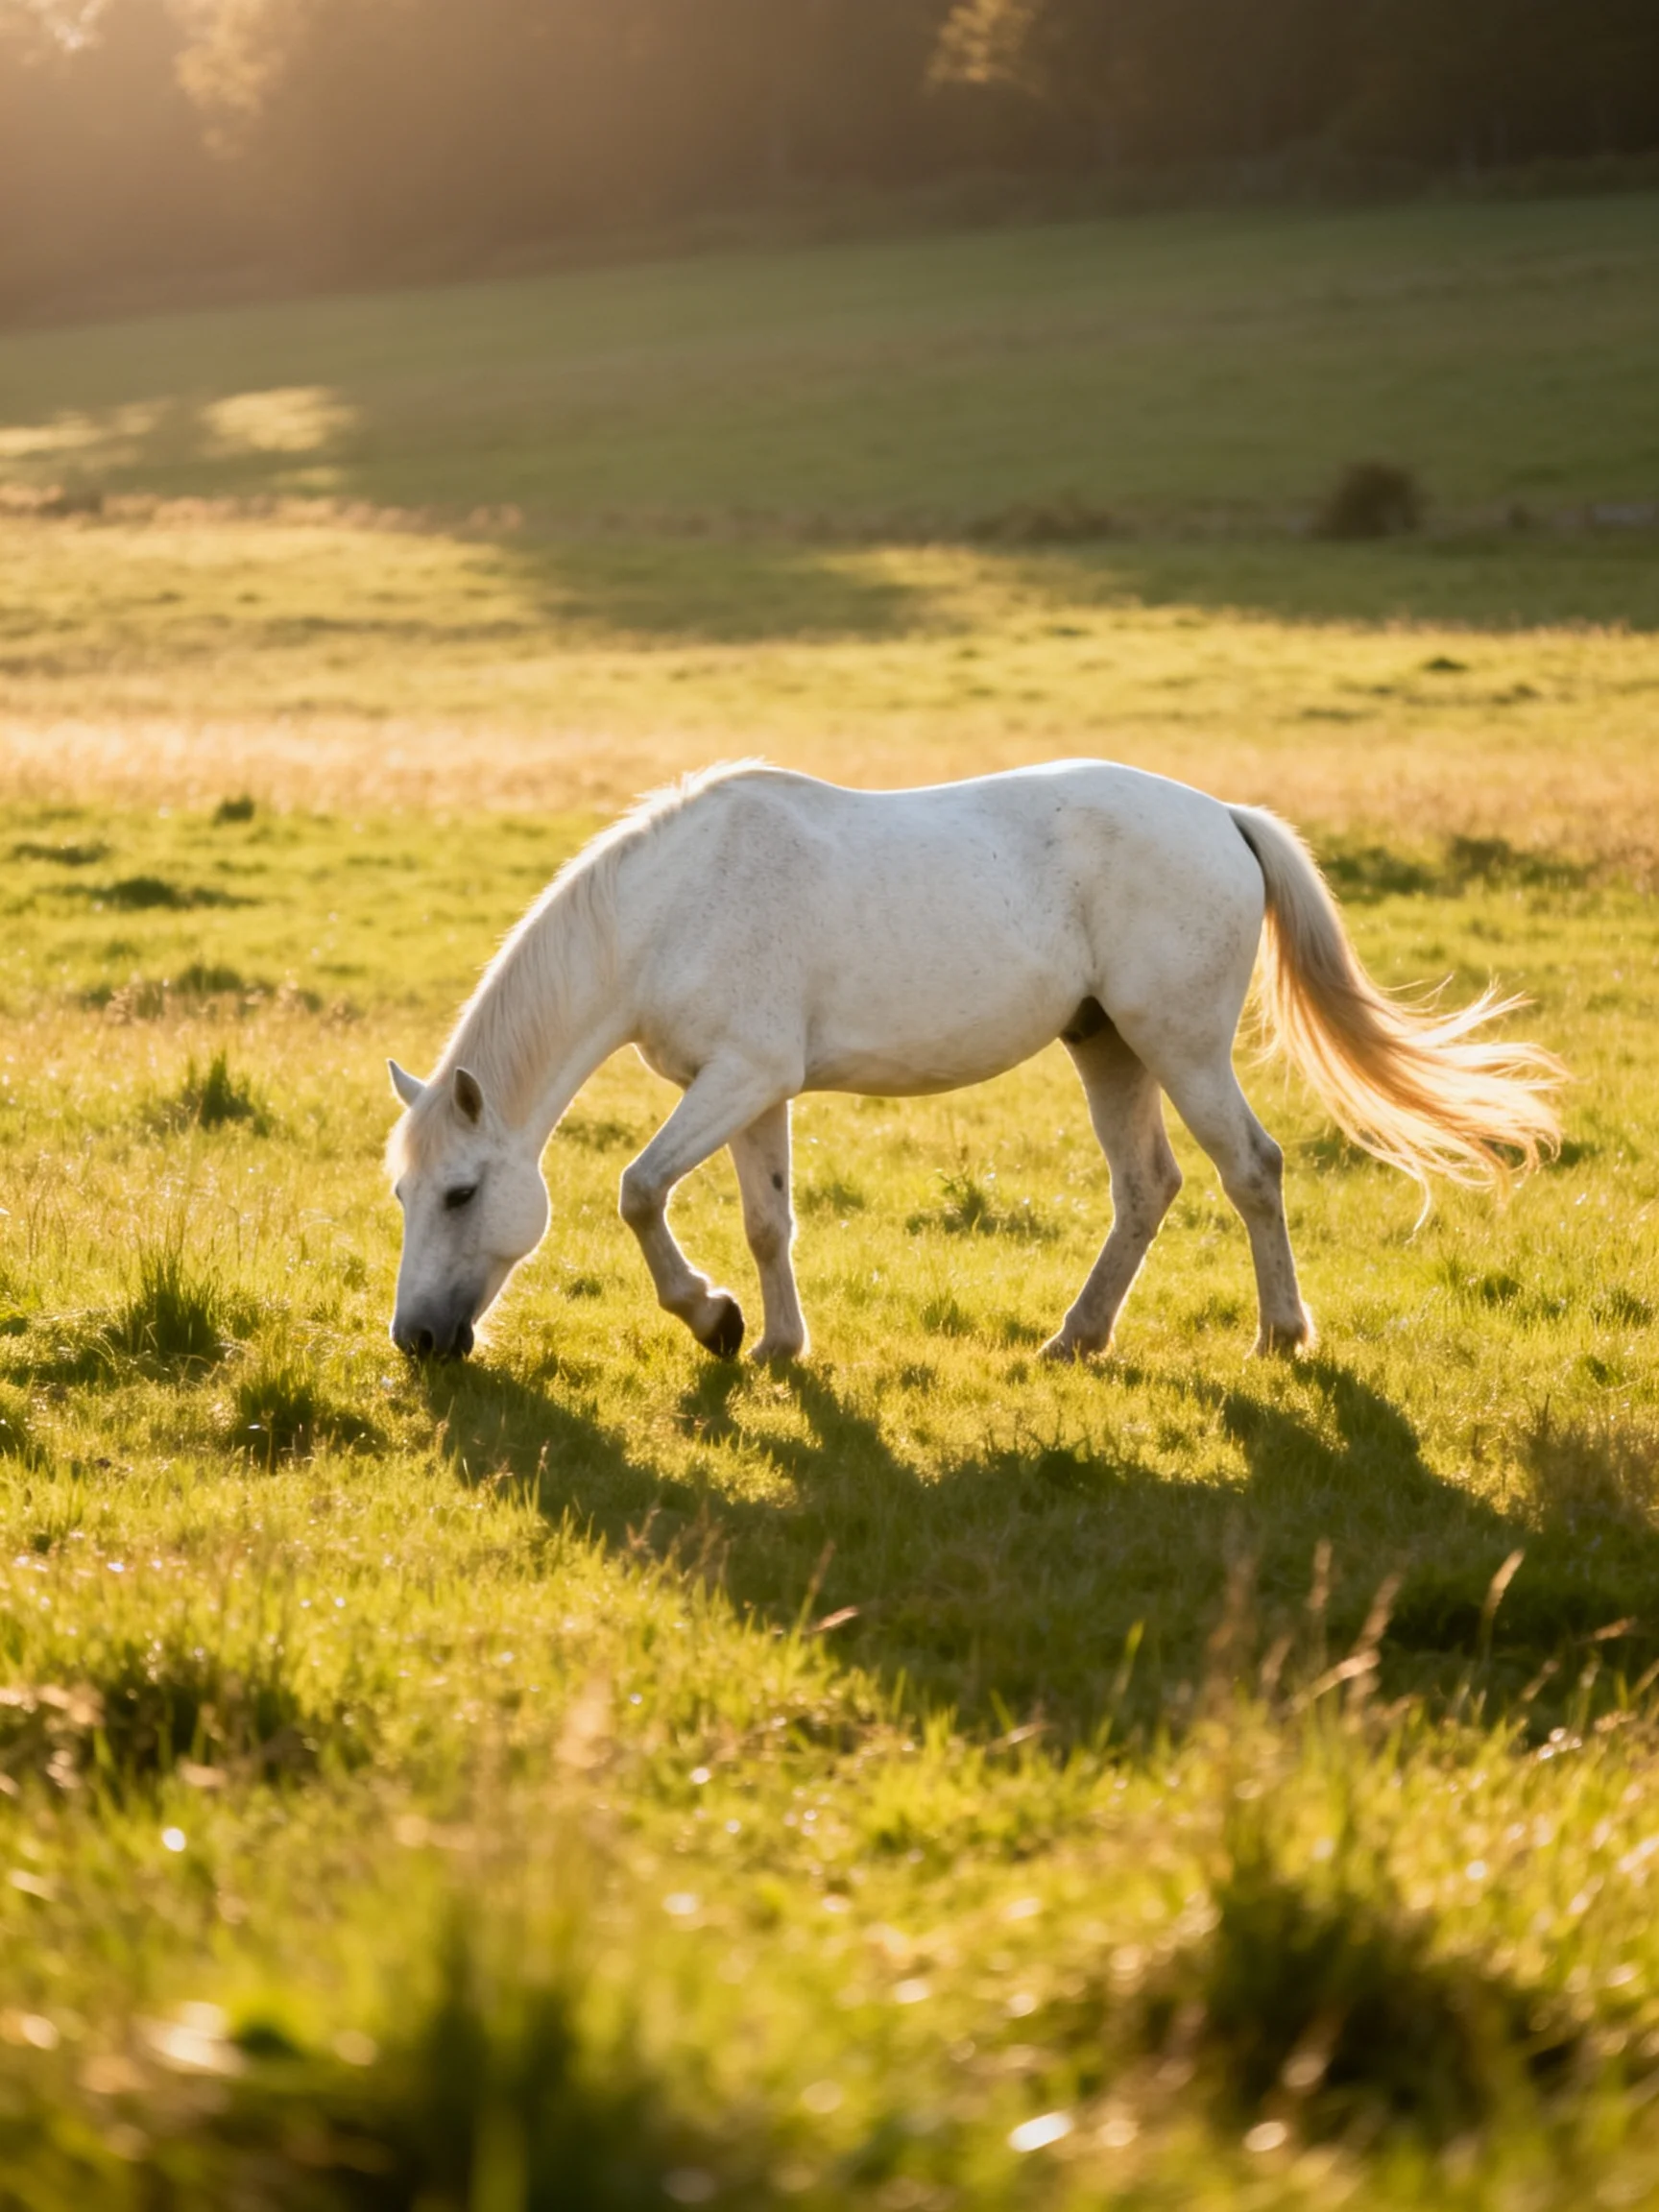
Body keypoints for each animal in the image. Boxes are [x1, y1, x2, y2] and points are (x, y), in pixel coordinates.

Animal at [385, 759, 1562, 1364]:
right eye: (403, 1193)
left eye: (460, 1193)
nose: (416, 1338)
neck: (671, 908)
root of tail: (1224, 818)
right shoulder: (751, 1092)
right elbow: (768, 1222)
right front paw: (771, 1344)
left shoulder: (741, 1081)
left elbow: (637, 1191)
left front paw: (711, 1319)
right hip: (1108, 1048)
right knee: (1149, 1188)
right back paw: (1076, 1339)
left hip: (1179, 1047)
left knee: (1252, 1169)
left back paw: (1278, 1335)